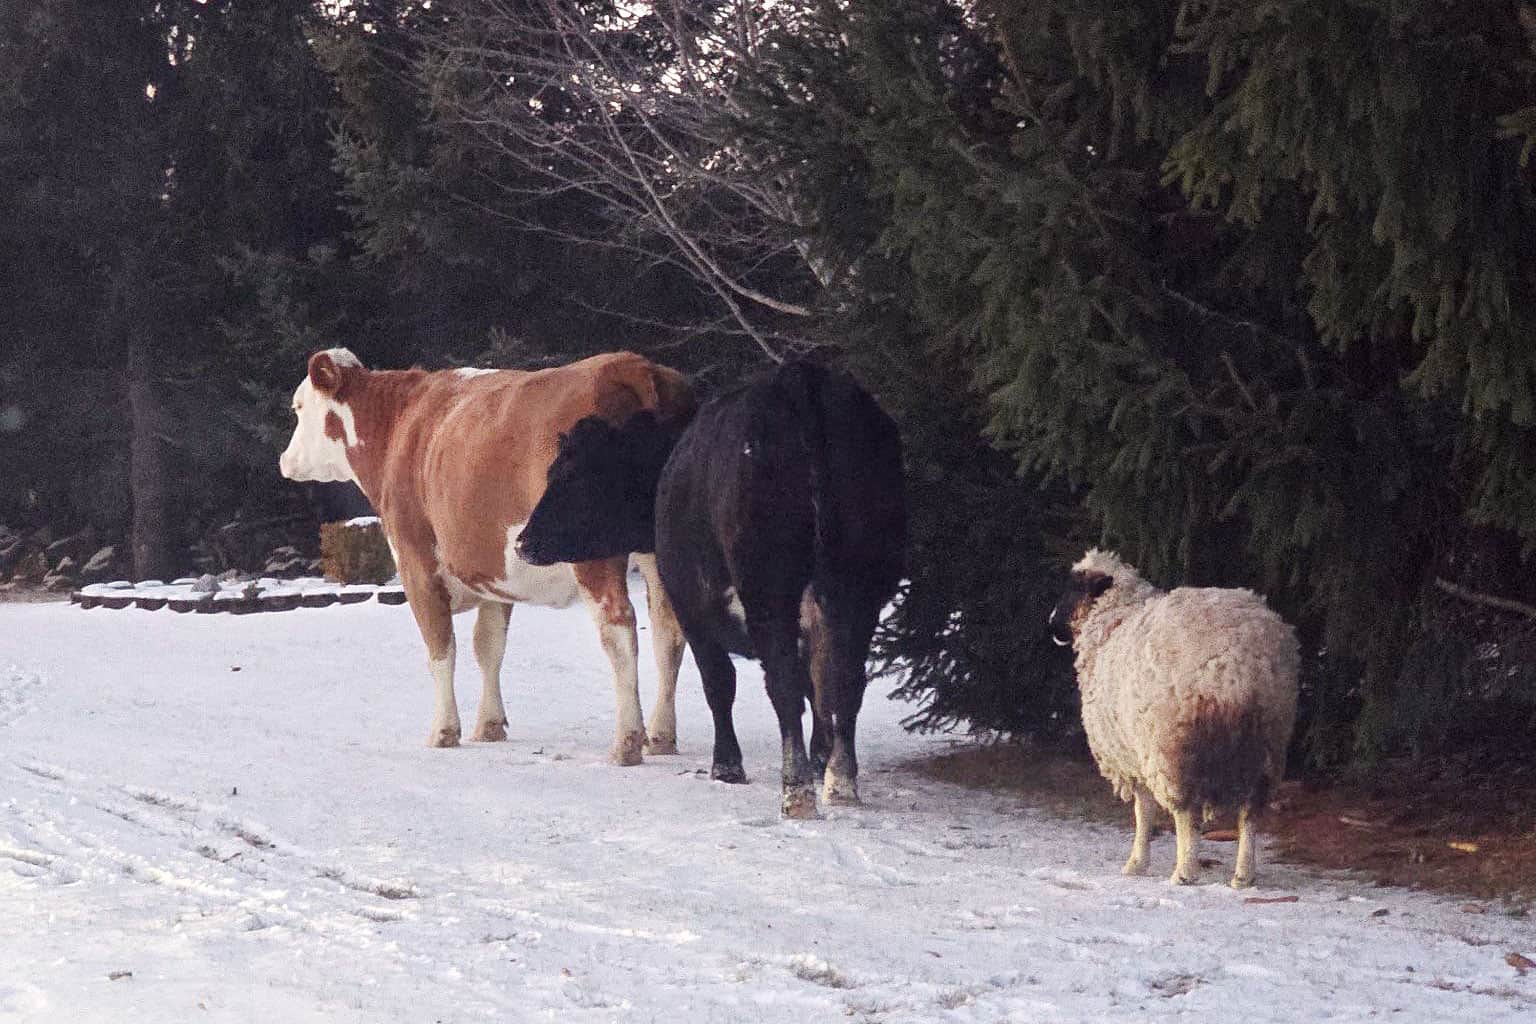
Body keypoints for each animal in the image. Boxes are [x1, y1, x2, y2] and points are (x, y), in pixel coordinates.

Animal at [278, 348, 697, 764]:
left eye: (299, 406)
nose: (284, 460)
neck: (401, 424)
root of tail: (632, 365)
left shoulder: (416, 560)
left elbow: (441, 648)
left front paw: (444, 730)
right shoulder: (494, 571)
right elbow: (489, 646)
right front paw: (489, 725)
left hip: (591, 548)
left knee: (620, 631)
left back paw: (626, 742)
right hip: (659, 552)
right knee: (668, 631)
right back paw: (660, 736)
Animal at [519, 363, 897, 822]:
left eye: (572, 477)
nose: (524, 541)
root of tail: (800, 378)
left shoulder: (691, 604)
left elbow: (719, 682)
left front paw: (727, 766)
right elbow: (819, 687)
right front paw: (822, 758)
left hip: (770, 594)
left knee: (785, 685)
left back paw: (797, 793)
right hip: (861, 591)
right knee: (846, 682)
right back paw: (840, 783)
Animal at [1044, 549, 1296, 884]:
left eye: (1074, 587)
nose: (1052, 625)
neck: (1113, 620)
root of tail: (1237, 667)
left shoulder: (1132, 756)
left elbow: (1144, 811)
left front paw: (1136, 863)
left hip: (1174, 745)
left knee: (1186, 813)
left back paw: (1184, 872)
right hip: (1265, 742)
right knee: (1250, 812)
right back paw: (1243, 875)